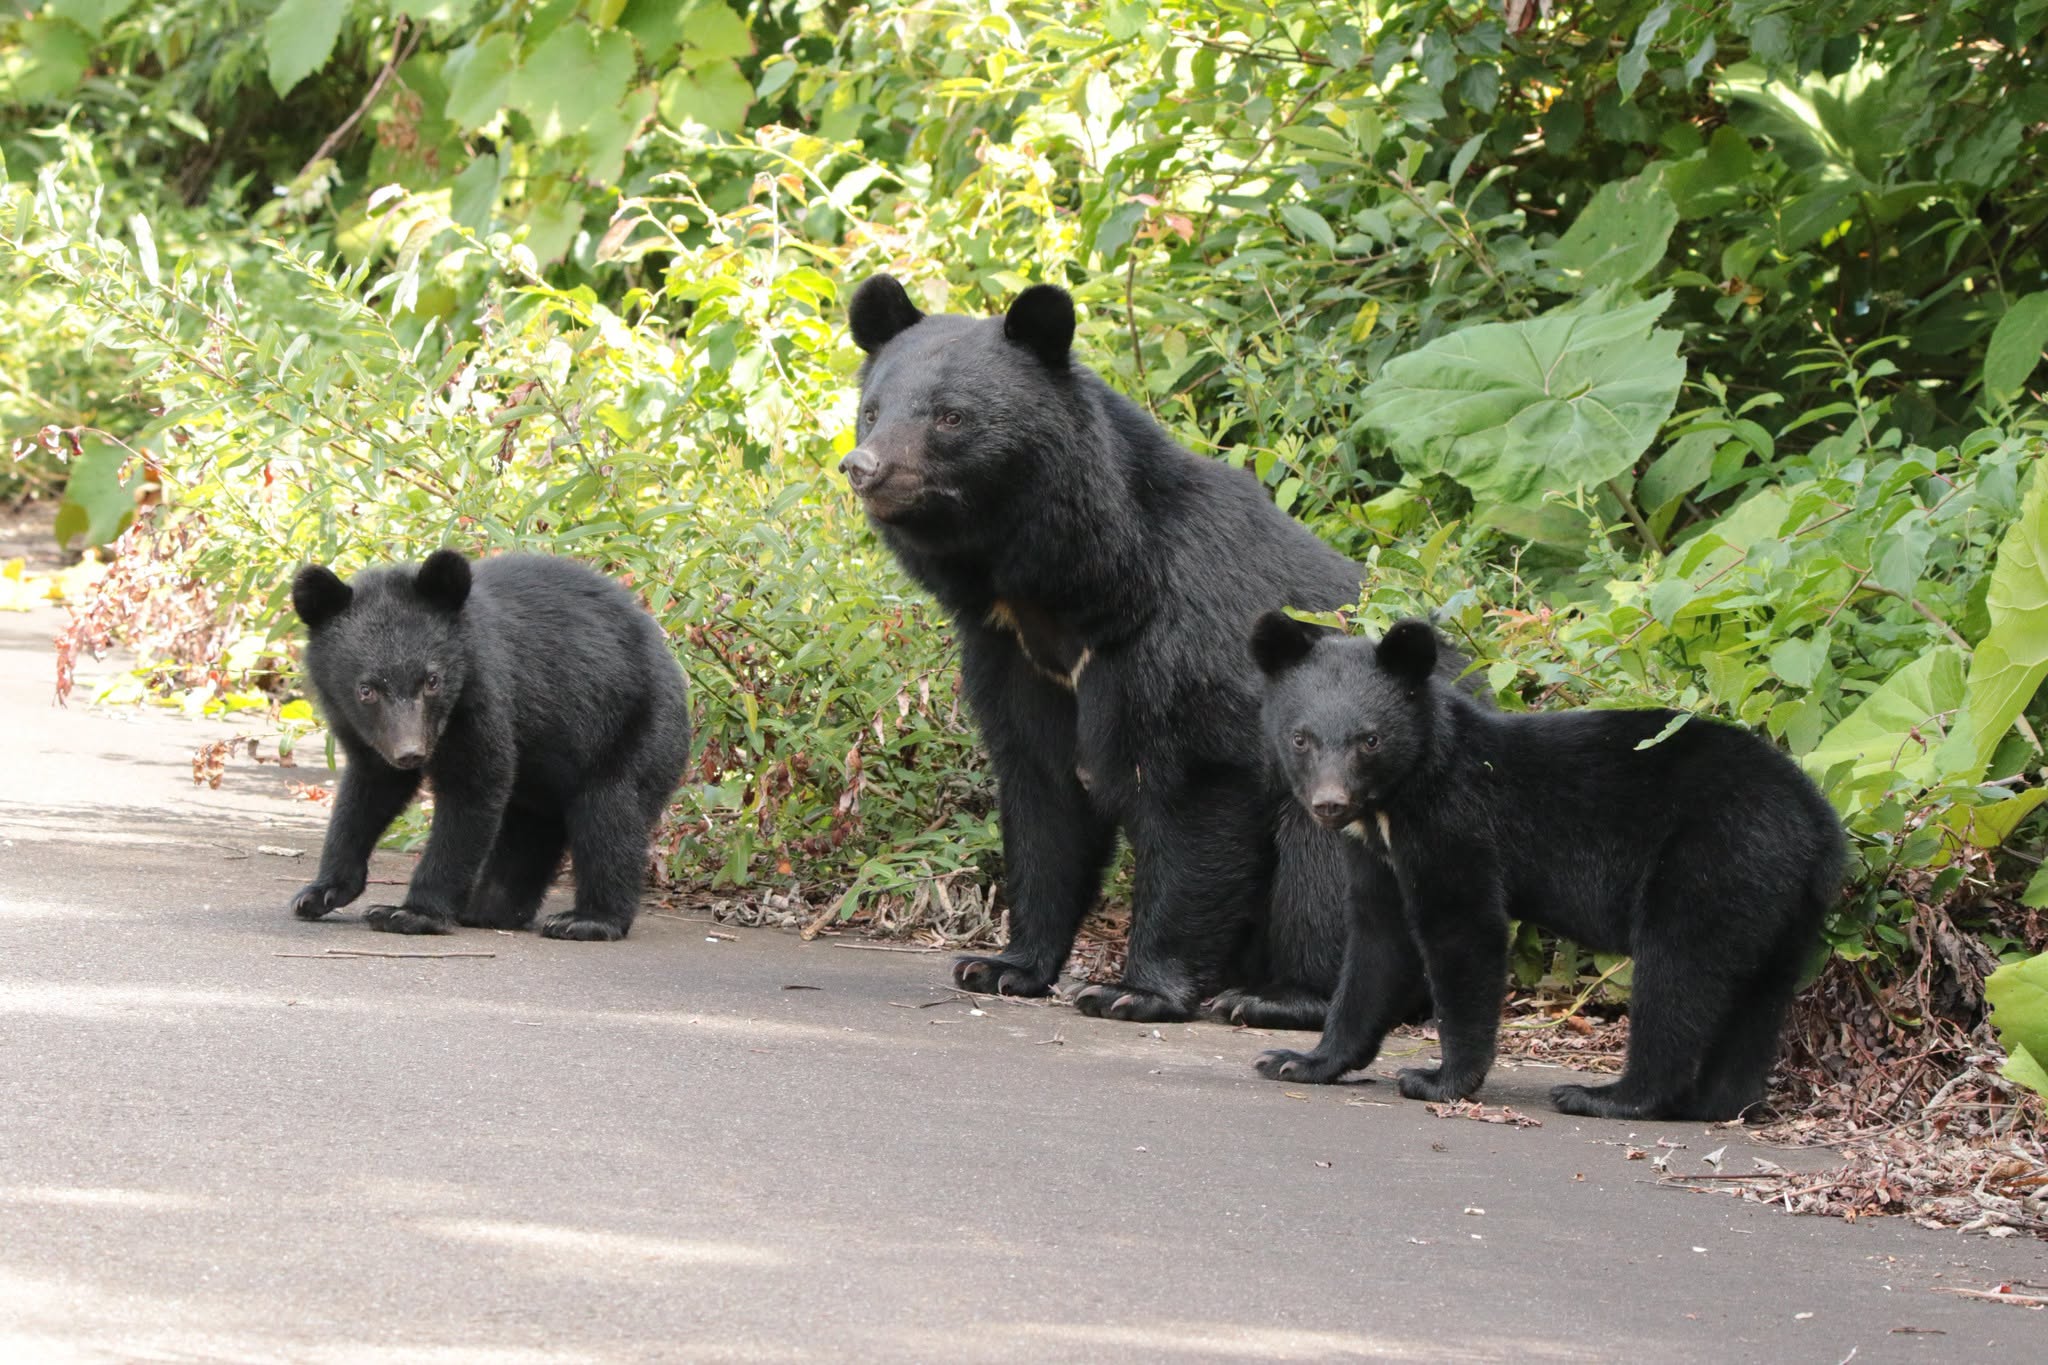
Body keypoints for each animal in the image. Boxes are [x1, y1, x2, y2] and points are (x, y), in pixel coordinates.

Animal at [287, 549, 692, 941]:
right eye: (366, 689)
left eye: (432, 681)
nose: (410, 753)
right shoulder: (364, 732)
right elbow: (367, 793)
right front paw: (319, 893)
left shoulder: (483, 697)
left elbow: (475, 786)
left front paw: (411, 913)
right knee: (530, 830)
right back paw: (491, 908)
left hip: (630, 728)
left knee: (610, 815)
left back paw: (586, 920)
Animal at [840, 272, 1428, 1027]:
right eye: (872, 411)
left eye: (949, 417)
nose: (864, 467)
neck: (1065, 593)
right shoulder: (1014, 657)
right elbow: (1043, 791)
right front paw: (1002, 965)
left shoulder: (1182, 642)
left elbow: (1192, 793)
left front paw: (1133, 989)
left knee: (1322, 864)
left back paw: (1279, 996)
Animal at [1247, 611, 1846, 1120]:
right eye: (1300, 738)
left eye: (1369, 740)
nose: (1329, 804)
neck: (1398, 802)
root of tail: (1819, 822)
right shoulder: (1378, 854)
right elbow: (1376, 941)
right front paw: (1300, 1060)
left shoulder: (1456, 825)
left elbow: (1463, 931)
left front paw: (1439, 1079)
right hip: (1778, 898)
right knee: (1758, 997)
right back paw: (1717, 1102)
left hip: (1714, 857)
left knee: (1678, 972)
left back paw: (1608, 1095)